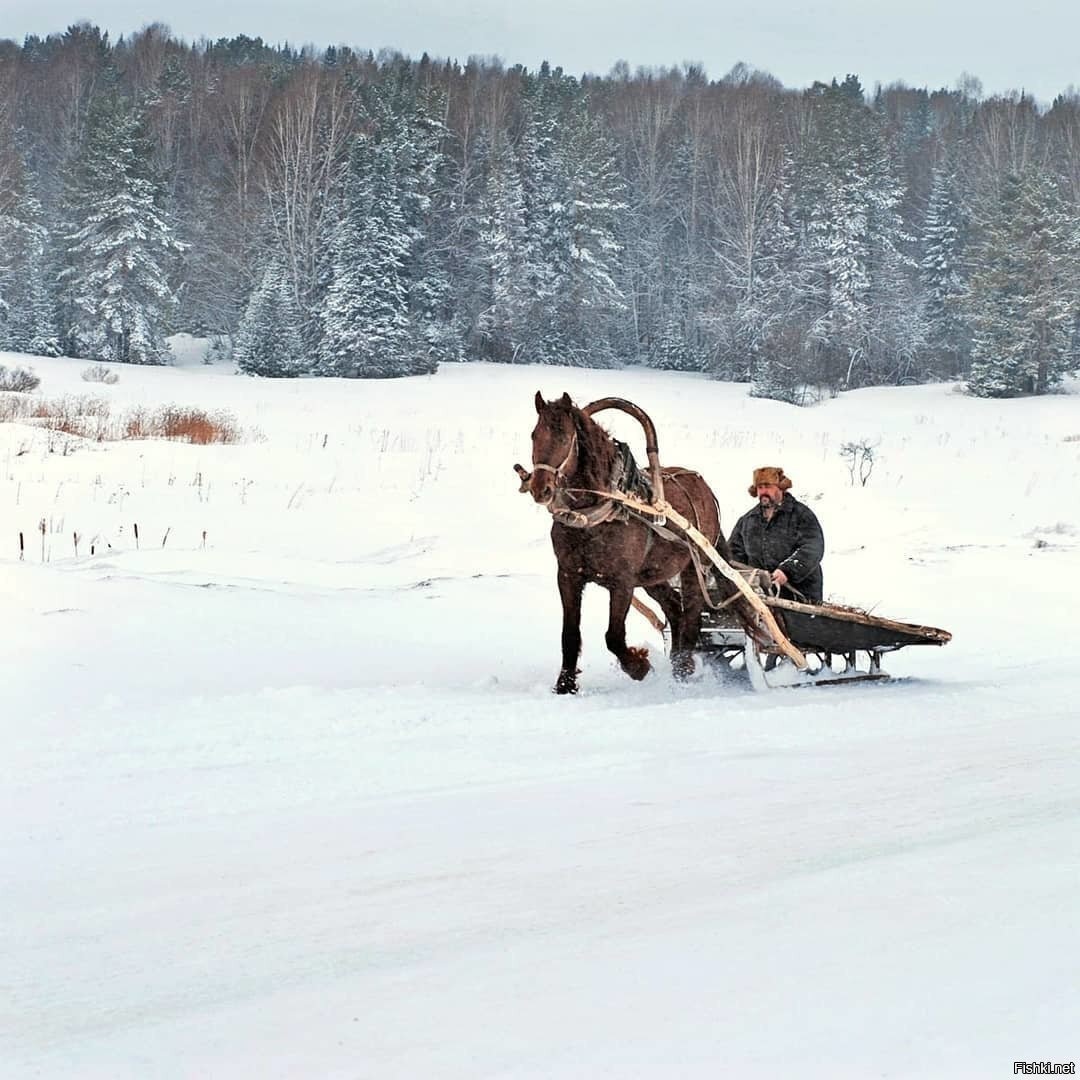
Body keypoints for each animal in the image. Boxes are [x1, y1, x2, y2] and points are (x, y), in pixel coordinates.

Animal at [524, 393, 730, 695]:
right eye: (534, 435)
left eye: (563, 436)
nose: (541, 489)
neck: (594, 514)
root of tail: (704, 488)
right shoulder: (568, 575)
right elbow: (569, 634)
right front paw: (565, 685)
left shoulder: (622, 581)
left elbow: (614, 636)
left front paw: (639, 666)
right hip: (653, 575)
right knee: (674, 609)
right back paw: (676, 666)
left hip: (694, 567)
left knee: (691, 616)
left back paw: (683, 671)